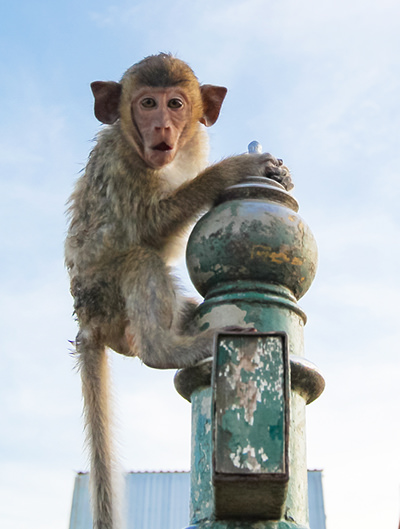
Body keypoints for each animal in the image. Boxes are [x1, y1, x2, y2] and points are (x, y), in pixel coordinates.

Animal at [64, 50, 292, 528]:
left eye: (175, 104)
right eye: (148, 104)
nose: (162, 129)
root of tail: (87, 323)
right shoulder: (122, 166)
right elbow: (148, 227)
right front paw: (235, 169)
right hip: (104, 296)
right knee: (141, 260)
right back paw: (166, 350)